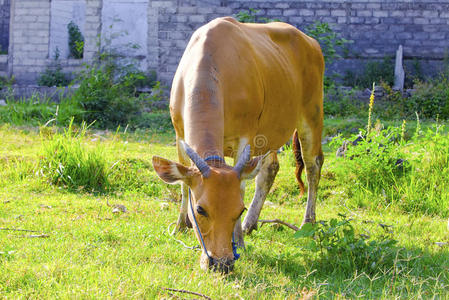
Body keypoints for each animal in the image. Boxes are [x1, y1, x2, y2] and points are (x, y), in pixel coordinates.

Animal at [152, 17, 324, 274]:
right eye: (200, 209)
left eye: (238, 209)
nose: (221, 263)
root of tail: (311, 42)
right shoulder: (179, 134)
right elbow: (183, 184)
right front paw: (181, 225)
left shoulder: (245, 137)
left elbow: (241, 186)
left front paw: (239, 241)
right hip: (270, 134)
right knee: (269, 169)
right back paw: (250, 224)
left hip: (312, 115)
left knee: (313, 166)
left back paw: (307, 224)